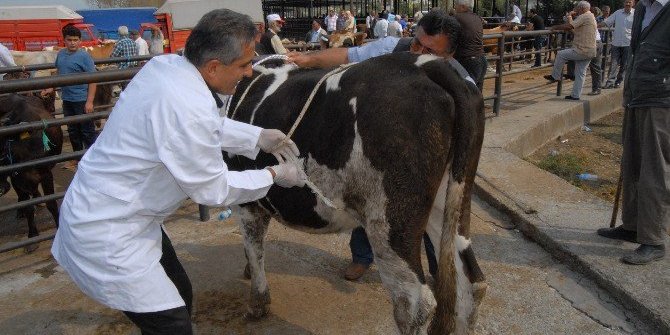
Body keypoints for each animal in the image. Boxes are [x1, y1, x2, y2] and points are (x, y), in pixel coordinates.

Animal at [228, 52, 486, 335]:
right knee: (471, 282)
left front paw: (257, 303)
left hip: (389, 222)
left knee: (414, 303)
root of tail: (427, 63)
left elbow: (254, 247)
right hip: (450, 201)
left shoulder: (247, 201)